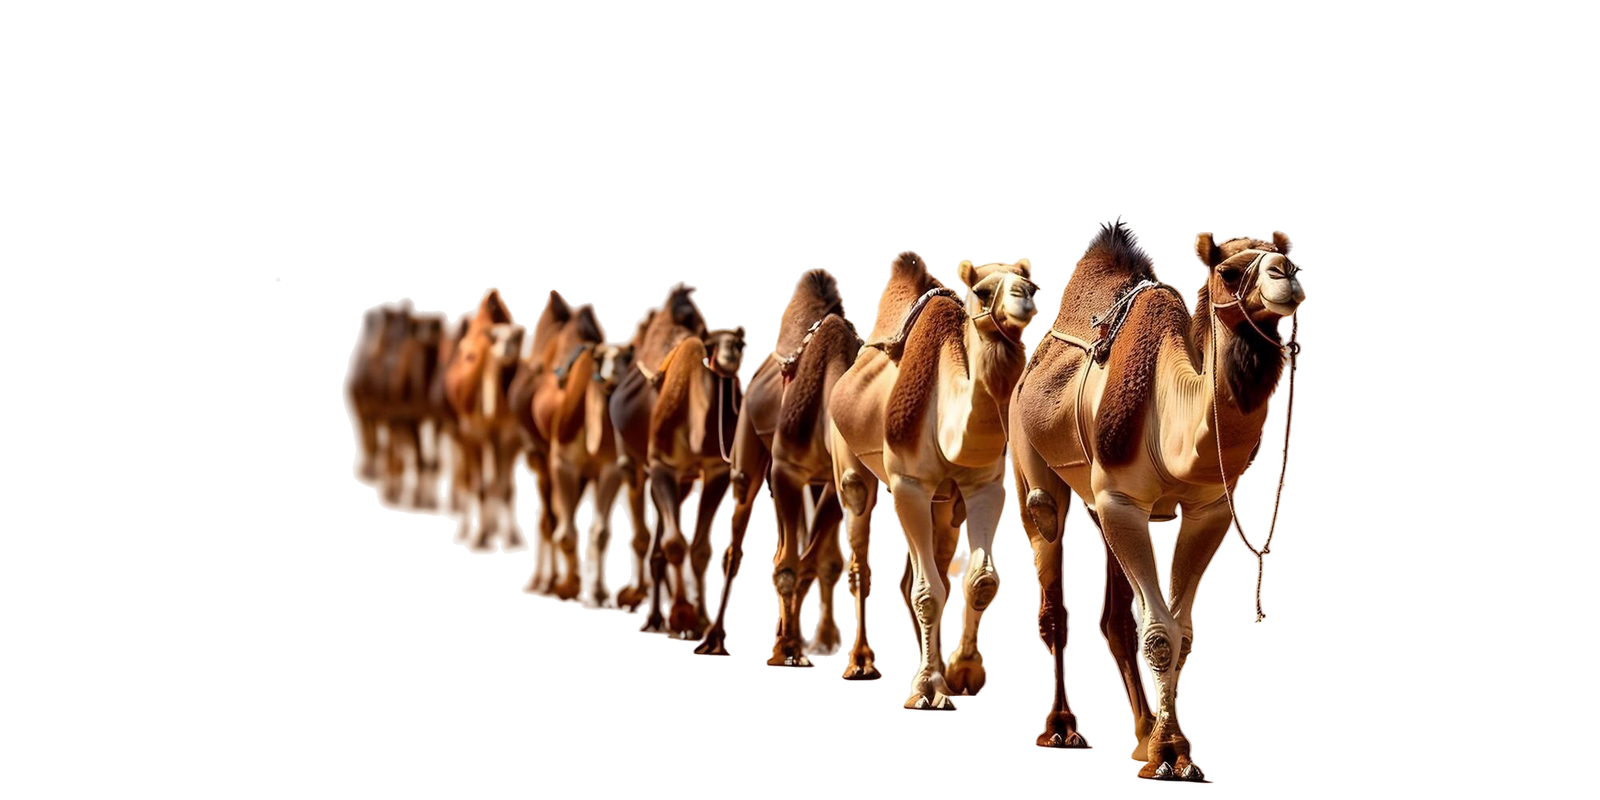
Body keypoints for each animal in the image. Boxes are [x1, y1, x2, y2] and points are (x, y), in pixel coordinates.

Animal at [443, 288, 528, 555]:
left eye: (514, 340)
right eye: (467, 354)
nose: (505, 352)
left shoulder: (507, 435)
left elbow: (505, 489)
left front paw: (512, 539)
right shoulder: (473, 432)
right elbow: (479, 486)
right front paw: (480, 538)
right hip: (460, 435)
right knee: (465, 477)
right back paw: (465, 531)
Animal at [642, 323, 748, 638]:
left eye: (740, 344)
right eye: (711, 345)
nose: (728, 355)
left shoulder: (717, 471)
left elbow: (700, 549)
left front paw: (700, 621)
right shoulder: (662, 466)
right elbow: (674, 544)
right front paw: (681, 616)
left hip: (686, 483)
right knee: (661, 541)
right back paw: (654, 619)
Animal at [696, 269, 856, 660]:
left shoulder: (830, 483)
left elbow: (811, 559)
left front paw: (800, 641)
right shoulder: (785, 470)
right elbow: (790, 561)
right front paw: (788, 647)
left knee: (796, 544)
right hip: (750, 457)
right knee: (736, 543)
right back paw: (714, 638)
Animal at [830, 251, 1039, 705]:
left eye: (1032, 286)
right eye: (982, 291)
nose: (1023, 299)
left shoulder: (984, 486)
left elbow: (980, 581)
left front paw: (962, 671)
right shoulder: (908, 485)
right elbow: (927, 594)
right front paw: (928, 689)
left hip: (946, 504)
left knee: (933, 569)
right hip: (852, 463)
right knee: (862, 560)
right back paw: (862, 664)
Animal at [1008, 221, 1303, 781]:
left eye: (1291, 263)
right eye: (1228, 270)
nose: (1287, 277)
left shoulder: (1209, 511)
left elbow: (1180, 633)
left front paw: (1168, 747)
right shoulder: (1123, 500)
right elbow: (1159, 635)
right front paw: (1170, 754)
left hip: (1098, 504)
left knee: (1115, 618)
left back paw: (1141, 732)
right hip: (1033, 459)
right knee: (1051, 571)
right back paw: (1062, 728)